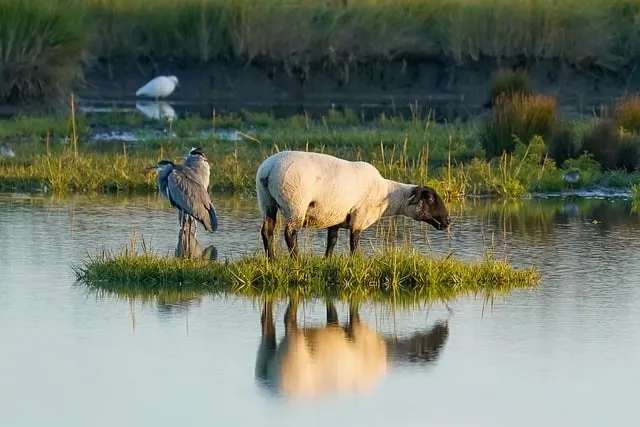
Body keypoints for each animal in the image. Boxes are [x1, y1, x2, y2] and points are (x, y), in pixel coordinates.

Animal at [255, 150, 451, 258]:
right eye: (430, 199)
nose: (448, 221)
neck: (386, 195)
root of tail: (269, 169)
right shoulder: (359, 216)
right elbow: (354, 243)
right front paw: (355, 262)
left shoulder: (335, 217)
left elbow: (332, 242)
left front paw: (327, 261)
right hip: (296, 202)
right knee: (290, 233)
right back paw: (297, 260)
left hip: (266, 201)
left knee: (267, 230)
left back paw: (272, 260)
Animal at [255, 298, 450, 401]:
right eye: (433, 347)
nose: (445, 327)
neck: (387, 351)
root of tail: (269, 380)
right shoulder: (356, 332)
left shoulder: (339, 330)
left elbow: (332, 316)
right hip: (293, 349)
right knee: (289, 321)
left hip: (265, 353)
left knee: (267, 328)